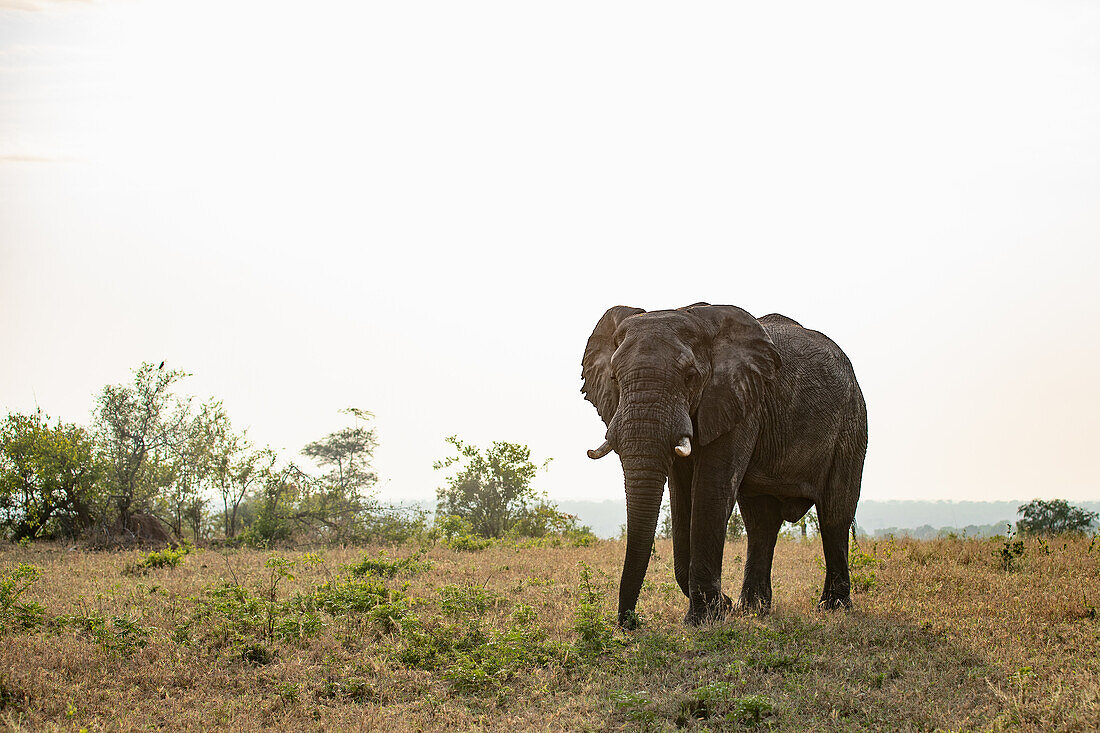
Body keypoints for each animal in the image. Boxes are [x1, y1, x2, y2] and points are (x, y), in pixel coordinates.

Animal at [585, 299, 866, 625]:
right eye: (614, 378)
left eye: (690, 377)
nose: (631, 623)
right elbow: (681, 496)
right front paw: (721, 608)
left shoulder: (740, 402)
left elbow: (711, 489)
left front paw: (704, 618)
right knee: (761, 523)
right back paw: (753, 609)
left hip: (851, 422)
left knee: (835, 515)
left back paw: (833, 607)